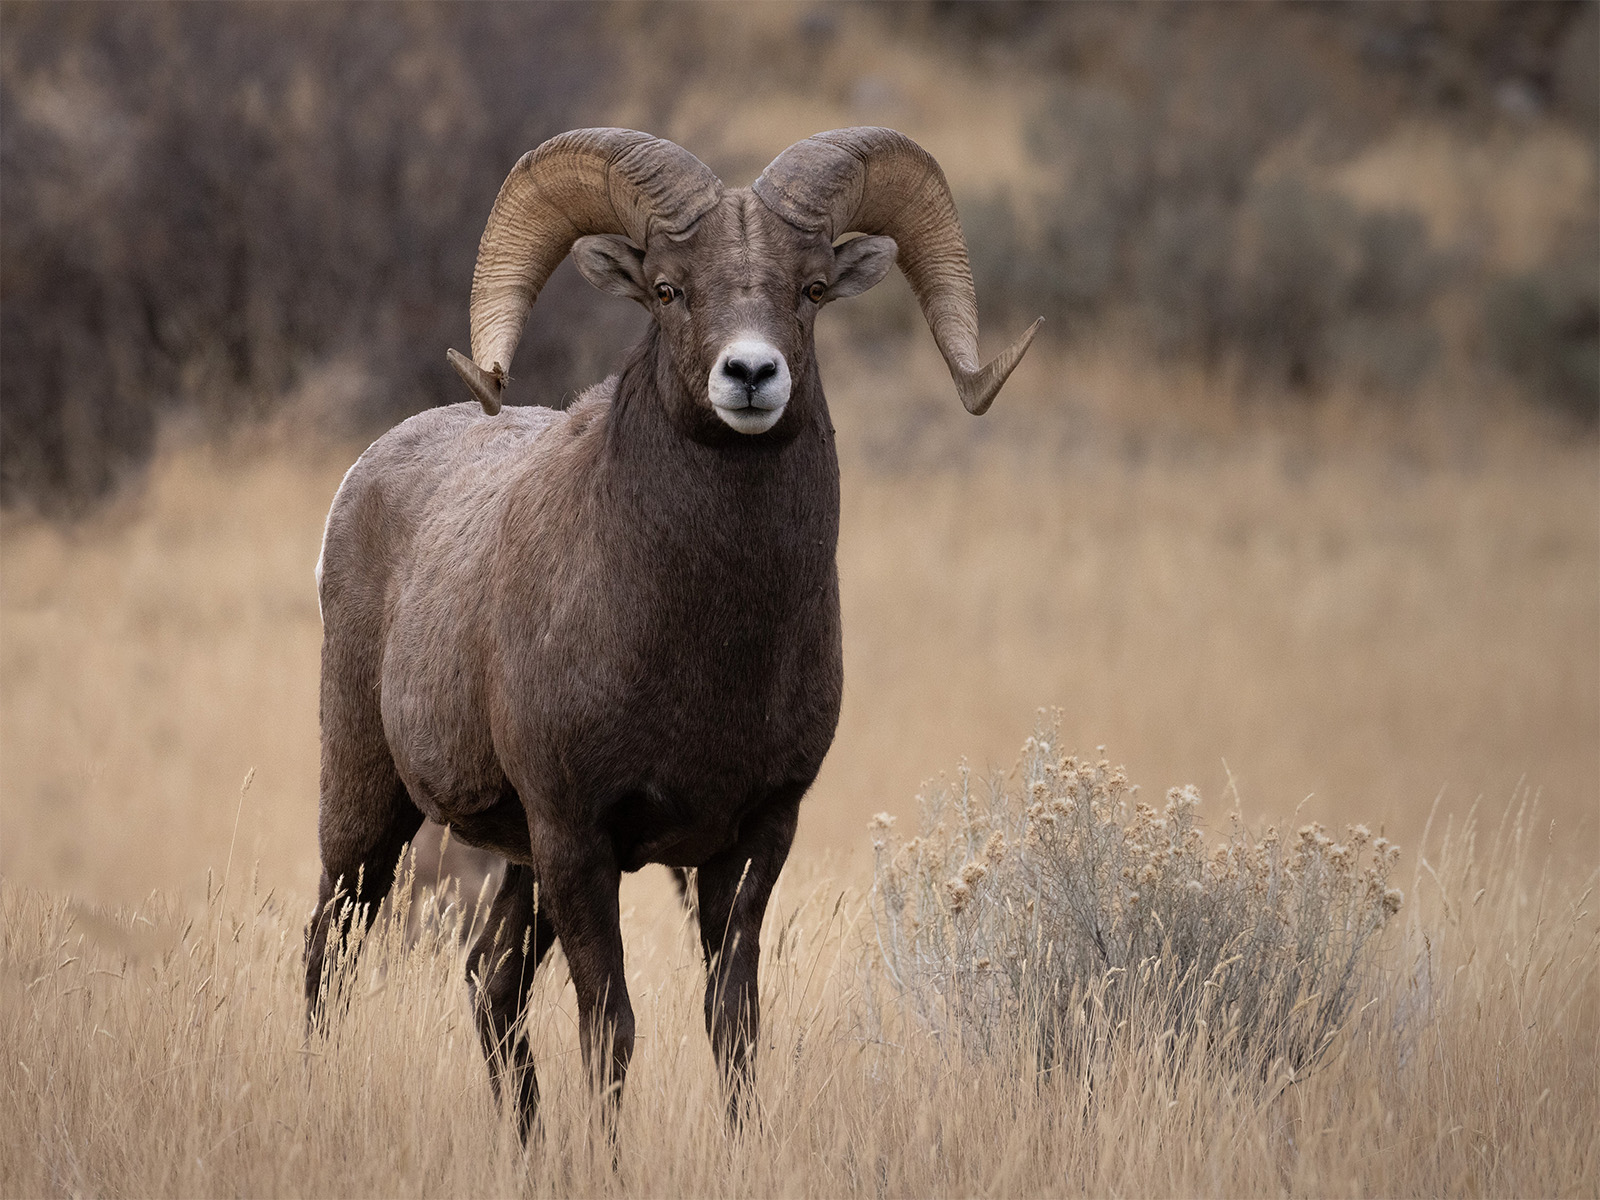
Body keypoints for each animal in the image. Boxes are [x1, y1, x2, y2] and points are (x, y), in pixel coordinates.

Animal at [305, 126, 1040, 1139]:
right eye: (667, 289)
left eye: (811, 288)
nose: (751, 375)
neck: (706, 651)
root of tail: (365, 476)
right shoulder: (579, 837)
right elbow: (609, 1027)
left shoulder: (754, 838)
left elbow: (732, 1021)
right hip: (372, 810)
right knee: (328, 955)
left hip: (516, 865)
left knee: (491, 983)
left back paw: (527, 1149)